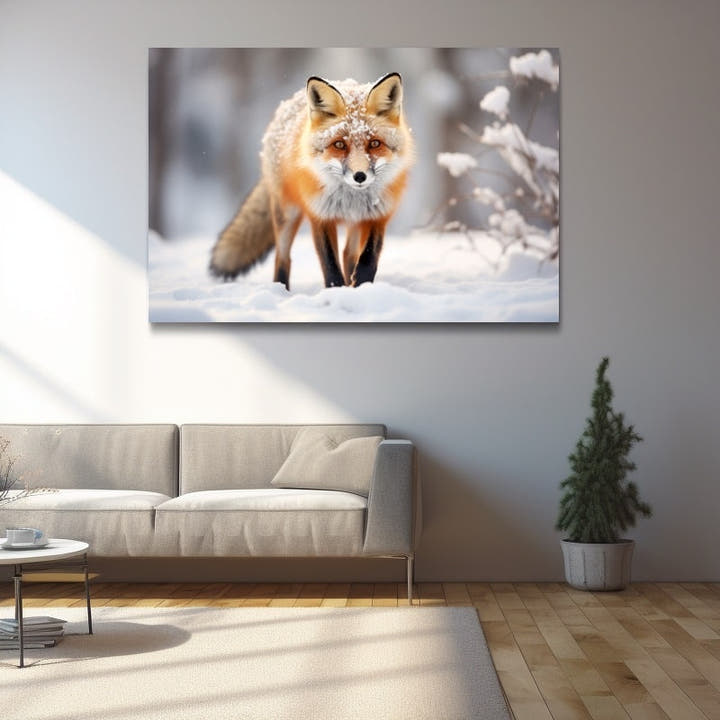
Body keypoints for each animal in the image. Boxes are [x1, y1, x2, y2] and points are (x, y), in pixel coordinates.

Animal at [209, 72, 414, 290]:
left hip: (355, 220)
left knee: (347, 254)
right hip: (287, 215)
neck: (351, 198)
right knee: (282, 258)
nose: (360, 176)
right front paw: (336, 289)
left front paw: (361, 286)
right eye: (339, 145)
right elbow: (330, 263)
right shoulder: (320, 214)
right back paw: (281, 289)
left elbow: (369, 257)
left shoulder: (378, 214)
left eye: (375, 143)